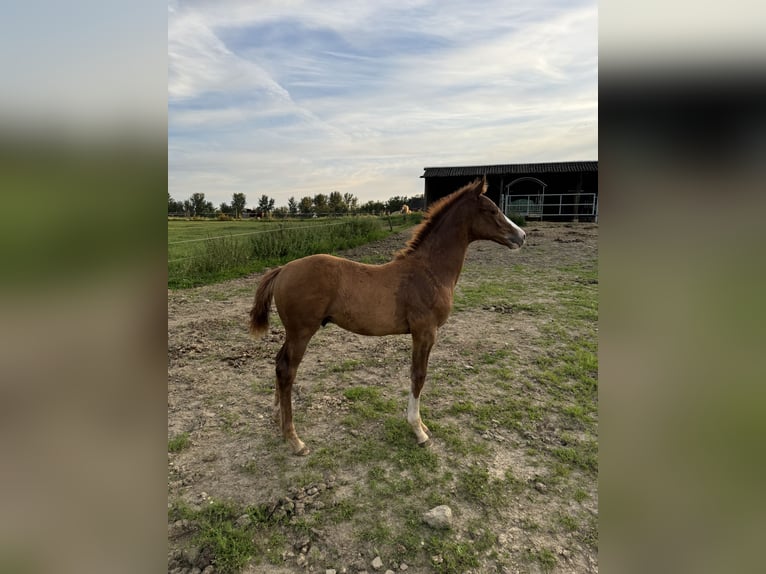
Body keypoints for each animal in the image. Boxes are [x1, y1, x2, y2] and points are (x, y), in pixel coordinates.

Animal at [252, 178, 528, 456]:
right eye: (492, 210)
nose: (522, 236)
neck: (429, 271)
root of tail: (283, 269)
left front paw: (422, 426)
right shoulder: (425, 331)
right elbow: (419, 376)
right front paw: (419, 430)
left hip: (293, 333)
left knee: (279, 363)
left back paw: (277, 416)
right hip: (302, 332)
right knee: (287, 371)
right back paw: (294, 439)